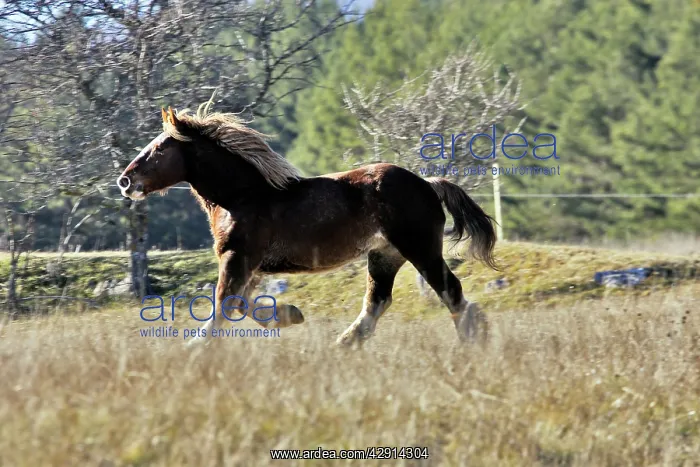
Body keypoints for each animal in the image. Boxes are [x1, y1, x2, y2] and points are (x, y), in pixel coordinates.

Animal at [117, 105, 498, 346]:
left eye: (158, 149)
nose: (125, 181)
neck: (242, 197)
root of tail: (429, 184)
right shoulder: (252, 266)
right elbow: (239, 304)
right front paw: (290, 315)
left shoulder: (236, 257)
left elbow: (224, 302)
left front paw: (196, 347)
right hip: (385, 255)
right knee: (378, 299)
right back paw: (344, 344)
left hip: (419, 249)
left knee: (450, 291)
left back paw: (473, 340)